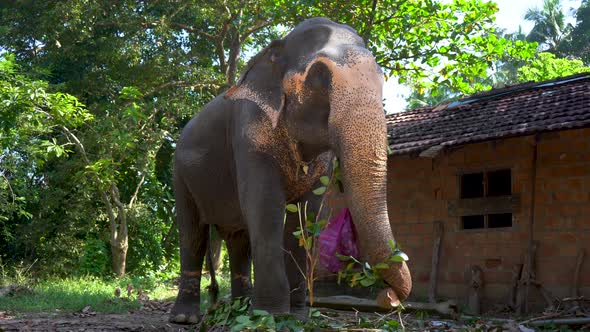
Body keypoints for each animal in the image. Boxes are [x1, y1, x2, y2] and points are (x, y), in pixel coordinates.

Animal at [170, 16, 412, 324]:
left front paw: (296, 317)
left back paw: (238, 308)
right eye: (319, 76)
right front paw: (269, 316)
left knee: (239, 240)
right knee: (192, 233)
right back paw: (186, 318)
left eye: (382, 77)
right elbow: (265, 207)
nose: (389, 297)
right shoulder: (248, 134)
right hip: (180, 174)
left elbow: (306, 215)